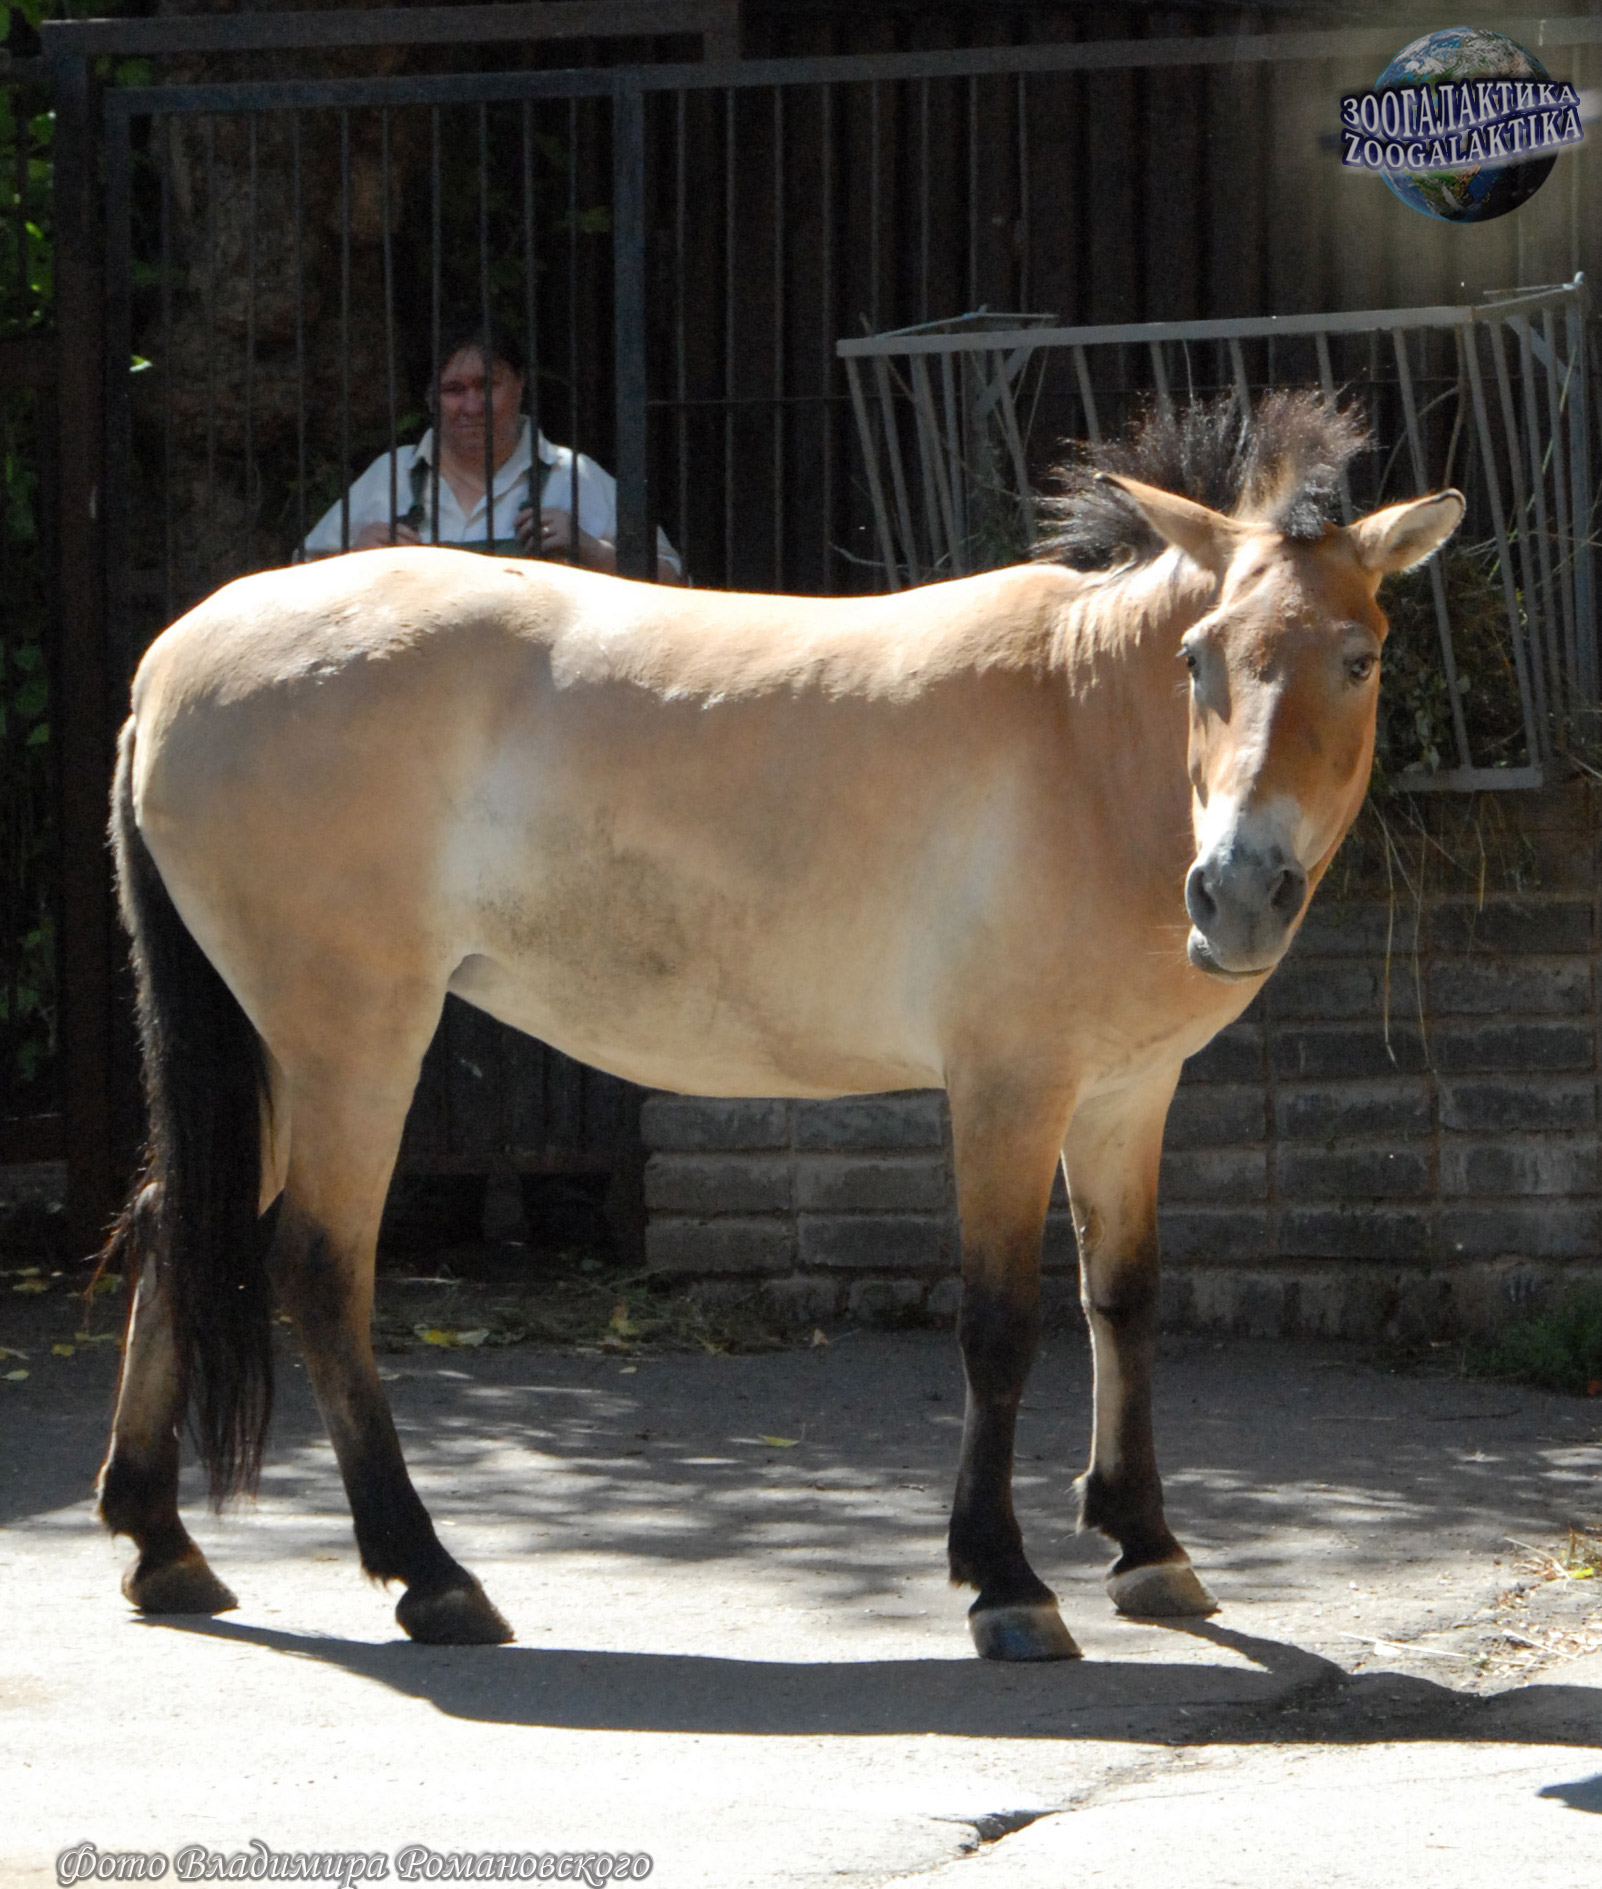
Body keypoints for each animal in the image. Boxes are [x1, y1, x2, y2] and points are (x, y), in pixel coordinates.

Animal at [96, 393, 1462, 1659]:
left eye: (1359, 657)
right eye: (1198, 659)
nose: (1236, 890)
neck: (1083, 733)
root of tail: (166, 668)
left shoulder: (1127, 1095)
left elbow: (1120, 1300)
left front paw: (1147, 1545)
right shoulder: (1008, 1090)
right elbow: (1000, 1324)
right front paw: (1005, 1580)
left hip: (275, 1051)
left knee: (172, 1222)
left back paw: (161, 1542)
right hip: (351, 1042)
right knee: (321, 1267)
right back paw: (429, 1573)